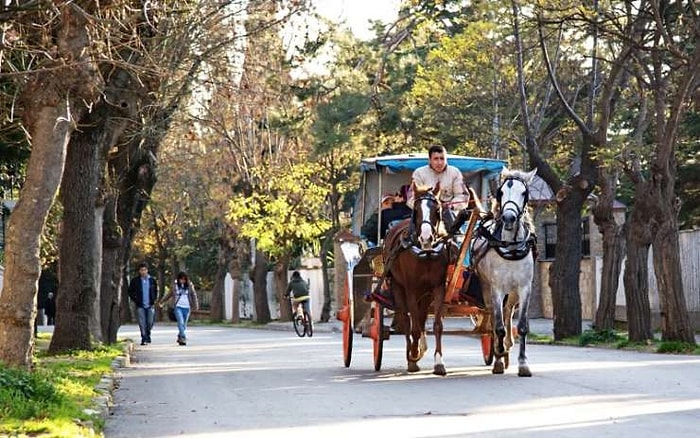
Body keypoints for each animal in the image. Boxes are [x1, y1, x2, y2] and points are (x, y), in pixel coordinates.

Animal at [382, 183, 448, 374]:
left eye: (437, 210)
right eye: (416, 211)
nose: (426, 237)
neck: (426, 253)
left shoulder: (438, 288)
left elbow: (437, 325)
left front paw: (438, 362)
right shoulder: (410, 289)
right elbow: (415, 328)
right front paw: (412, 355)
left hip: (424, 294)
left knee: (421, 317)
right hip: (397, 287)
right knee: (406, 319)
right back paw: (411, 353)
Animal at [474, 168, 540, 376]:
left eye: (524, 193)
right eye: (501, 192)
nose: (509, 218)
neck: (510, 247)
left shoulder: (525, 288)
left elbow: (522, 326)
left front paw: (523, 363)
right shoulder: (496, 289)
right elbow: (498, 326)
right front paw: (498, 358)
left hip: (512, 294)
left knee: (507, 312)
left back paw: (507, 347)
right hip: (487, 289)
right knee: (494, 318)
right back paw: (499, 351)